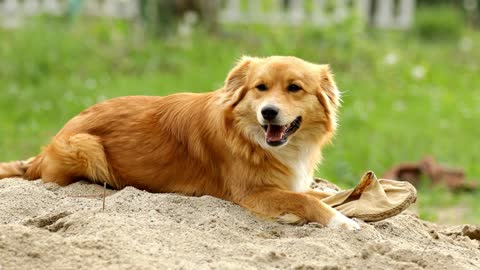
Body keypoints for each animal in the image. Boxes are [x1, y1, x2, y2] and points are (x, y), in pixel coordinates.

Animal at [0, 56, 360, 230]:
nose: (268, 112)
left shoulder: (287, 183)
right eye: (260, 87)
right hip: (85, 145)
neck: (253, 138)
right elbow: (307, 202)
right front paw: (342, 222)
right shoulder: (252, 193)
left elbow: (321, 195)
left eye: (294, 88)